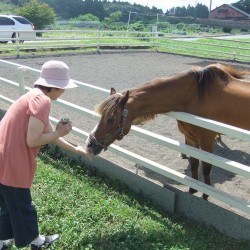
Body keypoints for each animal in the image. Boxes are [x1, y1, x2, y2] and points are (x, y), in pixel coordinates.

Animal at [86, 63, 250, 200]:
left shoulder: (206, 141)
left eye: (111, 119)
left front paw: (205, 196)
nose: (89, 144)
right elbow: (194, 164)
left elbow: (206, 168)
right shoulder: (191, 139)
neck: (195, 96)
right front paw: (192, 191)